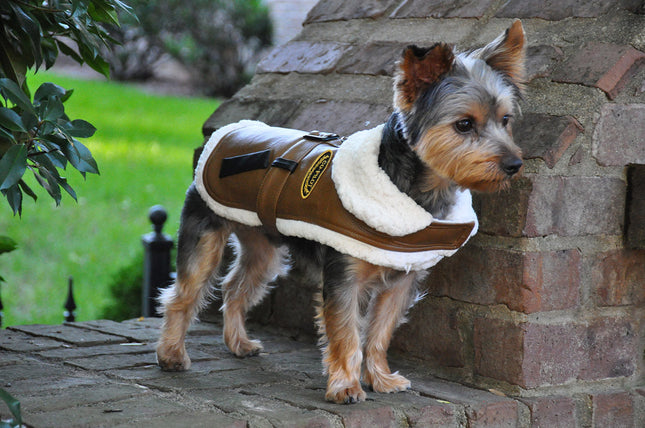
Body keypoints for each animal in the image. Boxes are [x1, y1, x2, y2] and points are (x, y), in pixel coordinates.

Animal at [156, 20, 524, 404]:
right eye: (464, 124)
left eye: (506, 120)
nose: (515, 164)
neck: (415, 189)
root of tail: (228, 131)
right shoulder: (344, 278)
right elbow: (347, 333)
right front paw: (346, 386)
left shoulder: (401, 280)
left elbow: (379, 332)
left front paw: (381, 378)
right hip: (205, 231)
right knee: (183, 294)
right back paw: (171, 354)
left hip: (262, 244)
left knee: (235, 287)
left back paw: (238, 343)